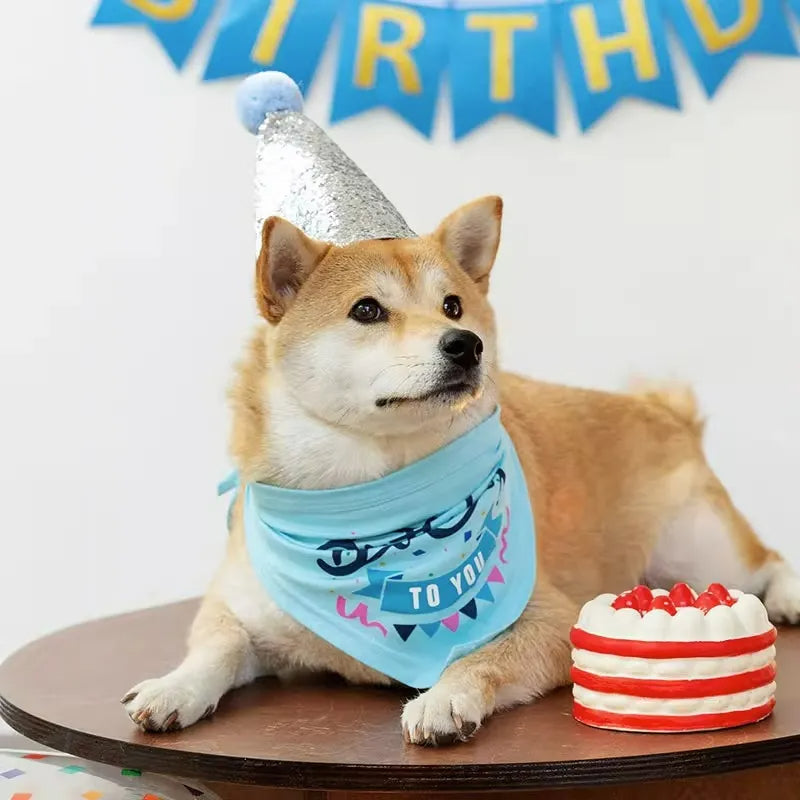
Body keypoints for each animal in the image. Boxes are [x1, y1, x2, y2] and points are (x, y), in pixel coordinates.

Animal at [120, 198, 800, 744]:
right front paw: (171, 687)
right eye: (367, 310)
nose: (464, 343)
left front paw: (445, 698)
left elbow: (476, 659)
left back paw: (788, 593)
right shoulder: (238, 608)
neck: (371, 492)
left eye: (452, 305)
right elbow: (216, 646)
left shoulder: (551, 621)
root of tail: (665, 411)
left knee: (766, 560)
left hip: (698, 553)